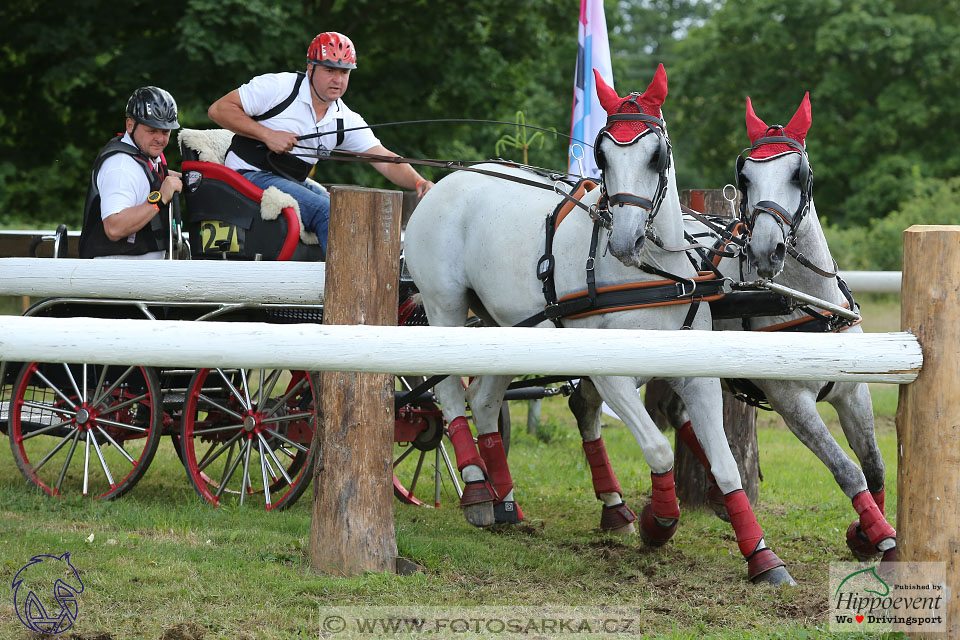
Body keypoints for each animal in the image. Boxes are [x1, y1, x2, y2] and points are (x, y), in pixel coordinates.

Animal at [404, 65, 796, 584]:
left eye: (656, 155)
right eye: (602, 153)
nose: (626, 240)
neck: (652, 274)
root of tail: (448, 181)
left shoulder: (697, 374)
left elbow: (726, 465)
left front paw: (762, 558)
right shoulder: (610, 375)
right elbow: (658, 448)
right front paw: (657, 523)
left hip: (507, 327)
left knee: (483, 400)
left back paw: (506, 502)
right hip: (444, 306)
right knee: (449, 393)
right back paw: (476, 490)